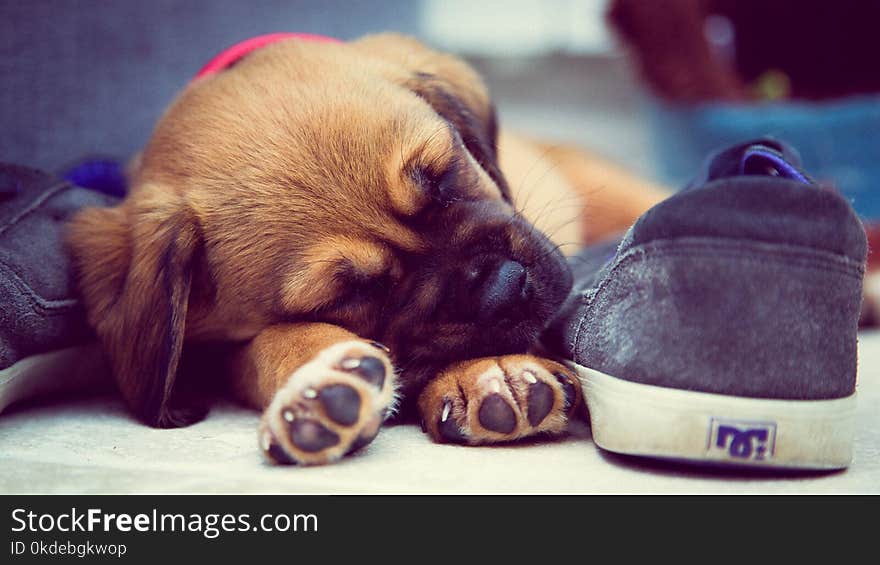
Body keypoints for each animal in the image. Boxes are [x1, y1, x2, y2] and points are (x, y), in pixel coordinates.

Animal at [67, 33, 668, 462]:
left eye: (444, 179)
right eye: (350, 293)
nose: (503, 287)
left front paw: (489, 369)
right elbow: (275, 343)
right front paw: (320, 387)